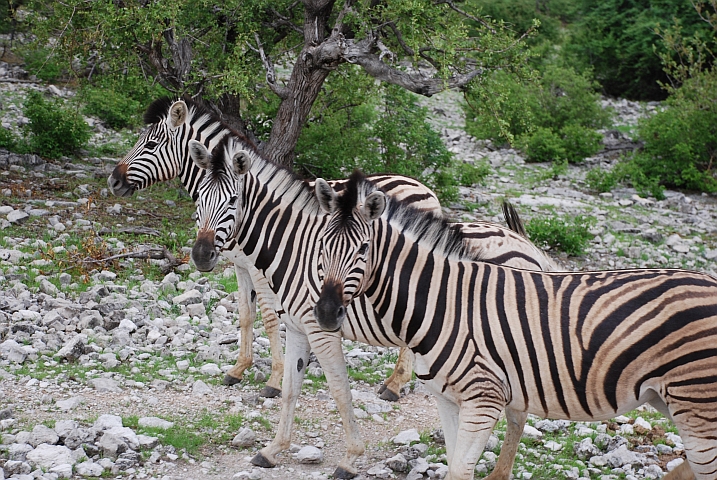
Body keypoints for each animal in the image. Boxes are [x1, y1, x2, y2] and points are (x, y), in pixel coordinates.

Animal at [106, 97, 445, 400]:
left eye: (150, 145)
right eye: (202, 197)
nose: (114, 181)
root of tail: (426, 190)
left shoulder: (261, 268)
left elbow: (269, 318)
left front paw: (274, 380)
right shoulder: (240, 265)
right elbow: (246, 315)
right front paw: (238, 369)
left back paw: (395, 385)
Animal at [188, 135, 558, 478]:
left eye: (232, 201)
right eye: (198, 198)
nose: (202, 255)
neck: (295, 246)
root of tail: (530, 250)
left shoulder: (318, 328)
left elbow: (340, 390)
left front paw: (350, 459)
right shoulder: (297, 327)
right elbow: (291, 389)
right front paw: (273, 449)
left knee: (517, 412)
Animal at [311, 172, 717, 480]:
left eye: (363, 249)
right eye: (320, 246)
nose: (327, 313)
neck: (442, 302)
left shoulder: (484, 397)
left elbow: (459, 470)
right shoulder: (448, 399)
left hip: (696, 402)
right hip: (672, 399)